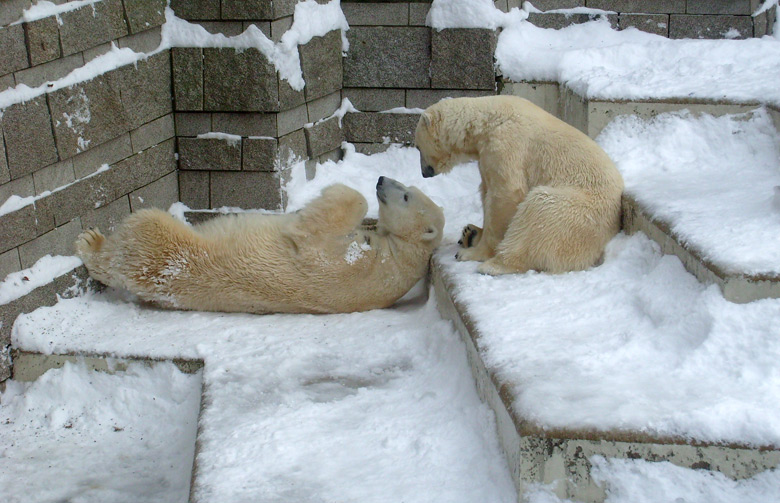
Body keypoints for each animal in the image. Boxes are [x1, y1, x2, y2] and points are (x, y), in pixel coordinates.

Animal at [77, 178, 448, 316]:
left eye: (406, 195)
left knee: (137, 234)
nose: (382, 180)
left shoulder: (352, 265)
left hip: (161, 244)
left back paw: (90, 243)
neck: (398, 257)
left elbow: (312, 233)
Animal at [418, 94, 624, 276]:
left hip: (578, 213)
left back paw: (493, 265)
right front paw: (475, 235)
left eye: (418, 147)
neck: (486, 122)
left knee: (539, 212)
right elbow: (486, 190)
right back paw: (470, 233)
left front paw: (475, 253)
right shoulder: (486, 155)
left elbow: (506, 194)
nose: (424, 173)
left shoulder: (507, 145)